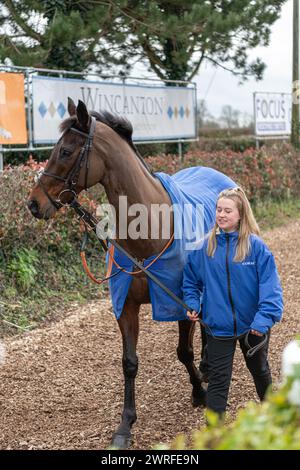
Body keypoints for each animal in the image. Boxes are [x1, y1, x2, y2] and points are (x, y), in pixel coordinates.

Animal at [27, 98, 236, 448]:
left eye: (66, 151)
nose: (33, 203)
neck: (150, 229)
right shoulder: (126, 305)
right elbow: (129, 364)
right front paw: (125, 425)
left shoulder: (178, 301)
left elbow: (183, 351)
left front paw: (199, 393)